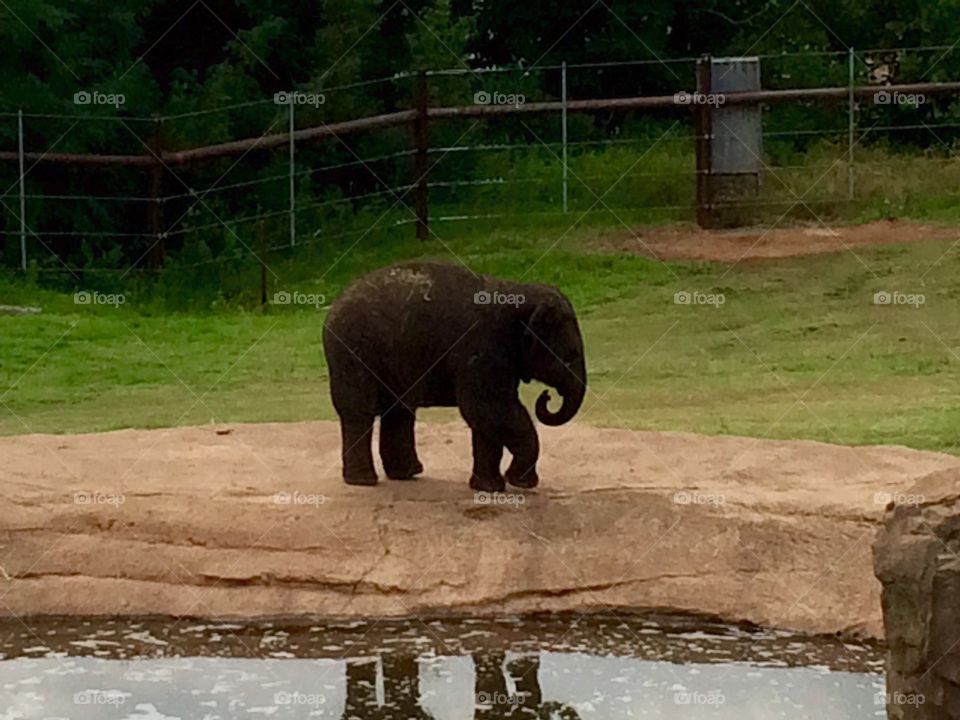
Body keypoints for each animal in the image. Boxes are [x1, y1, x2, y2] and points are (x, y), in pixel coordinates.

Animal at [322, 262, 586, 492]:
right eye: (570, 356)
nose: (547, 396)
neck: (518, 292)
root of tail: (332, 307)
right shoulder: (481, 349)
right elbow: (487, 409)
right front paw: (519, 482)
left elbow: (487, 416)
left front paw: (488, 489)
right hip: (351, 353)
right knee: (359, 411)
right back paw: (364, 481)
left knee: (399, 409)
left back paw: (407, 474)